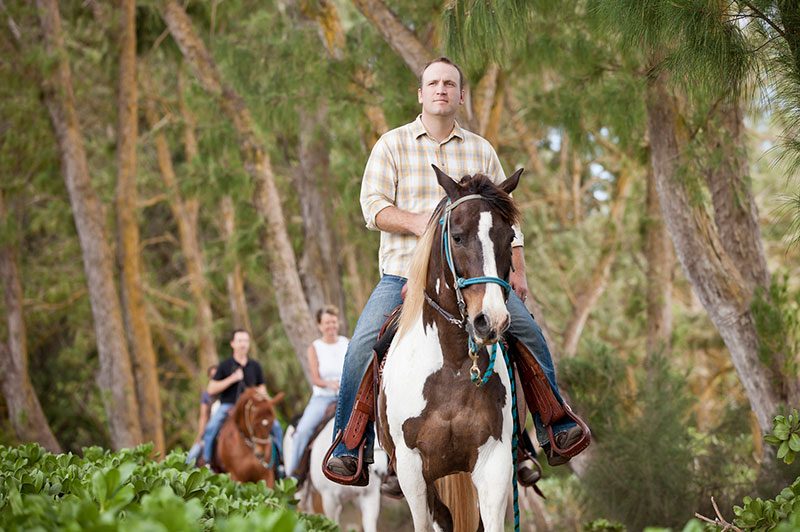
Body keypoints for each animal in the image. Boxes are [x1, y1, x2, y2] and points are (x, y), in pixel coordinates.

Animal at [376, 166, 520, 532]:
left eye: (509, 238)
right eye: (456, 236)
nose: (490, 321)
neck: (452, 365)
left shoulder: (495, 464)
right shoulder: (412, 471)